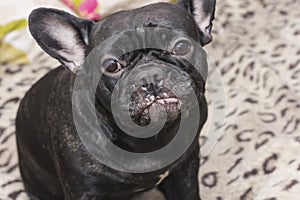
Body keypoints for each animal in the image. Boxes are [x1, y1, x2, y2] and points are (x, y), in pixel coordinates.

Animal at [15, 0, 216, 199]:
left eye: (181, 47)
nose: (150, 76)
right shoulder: (83, 190)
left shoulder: (185, 169)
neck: (150, 138)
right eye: (112, 66)